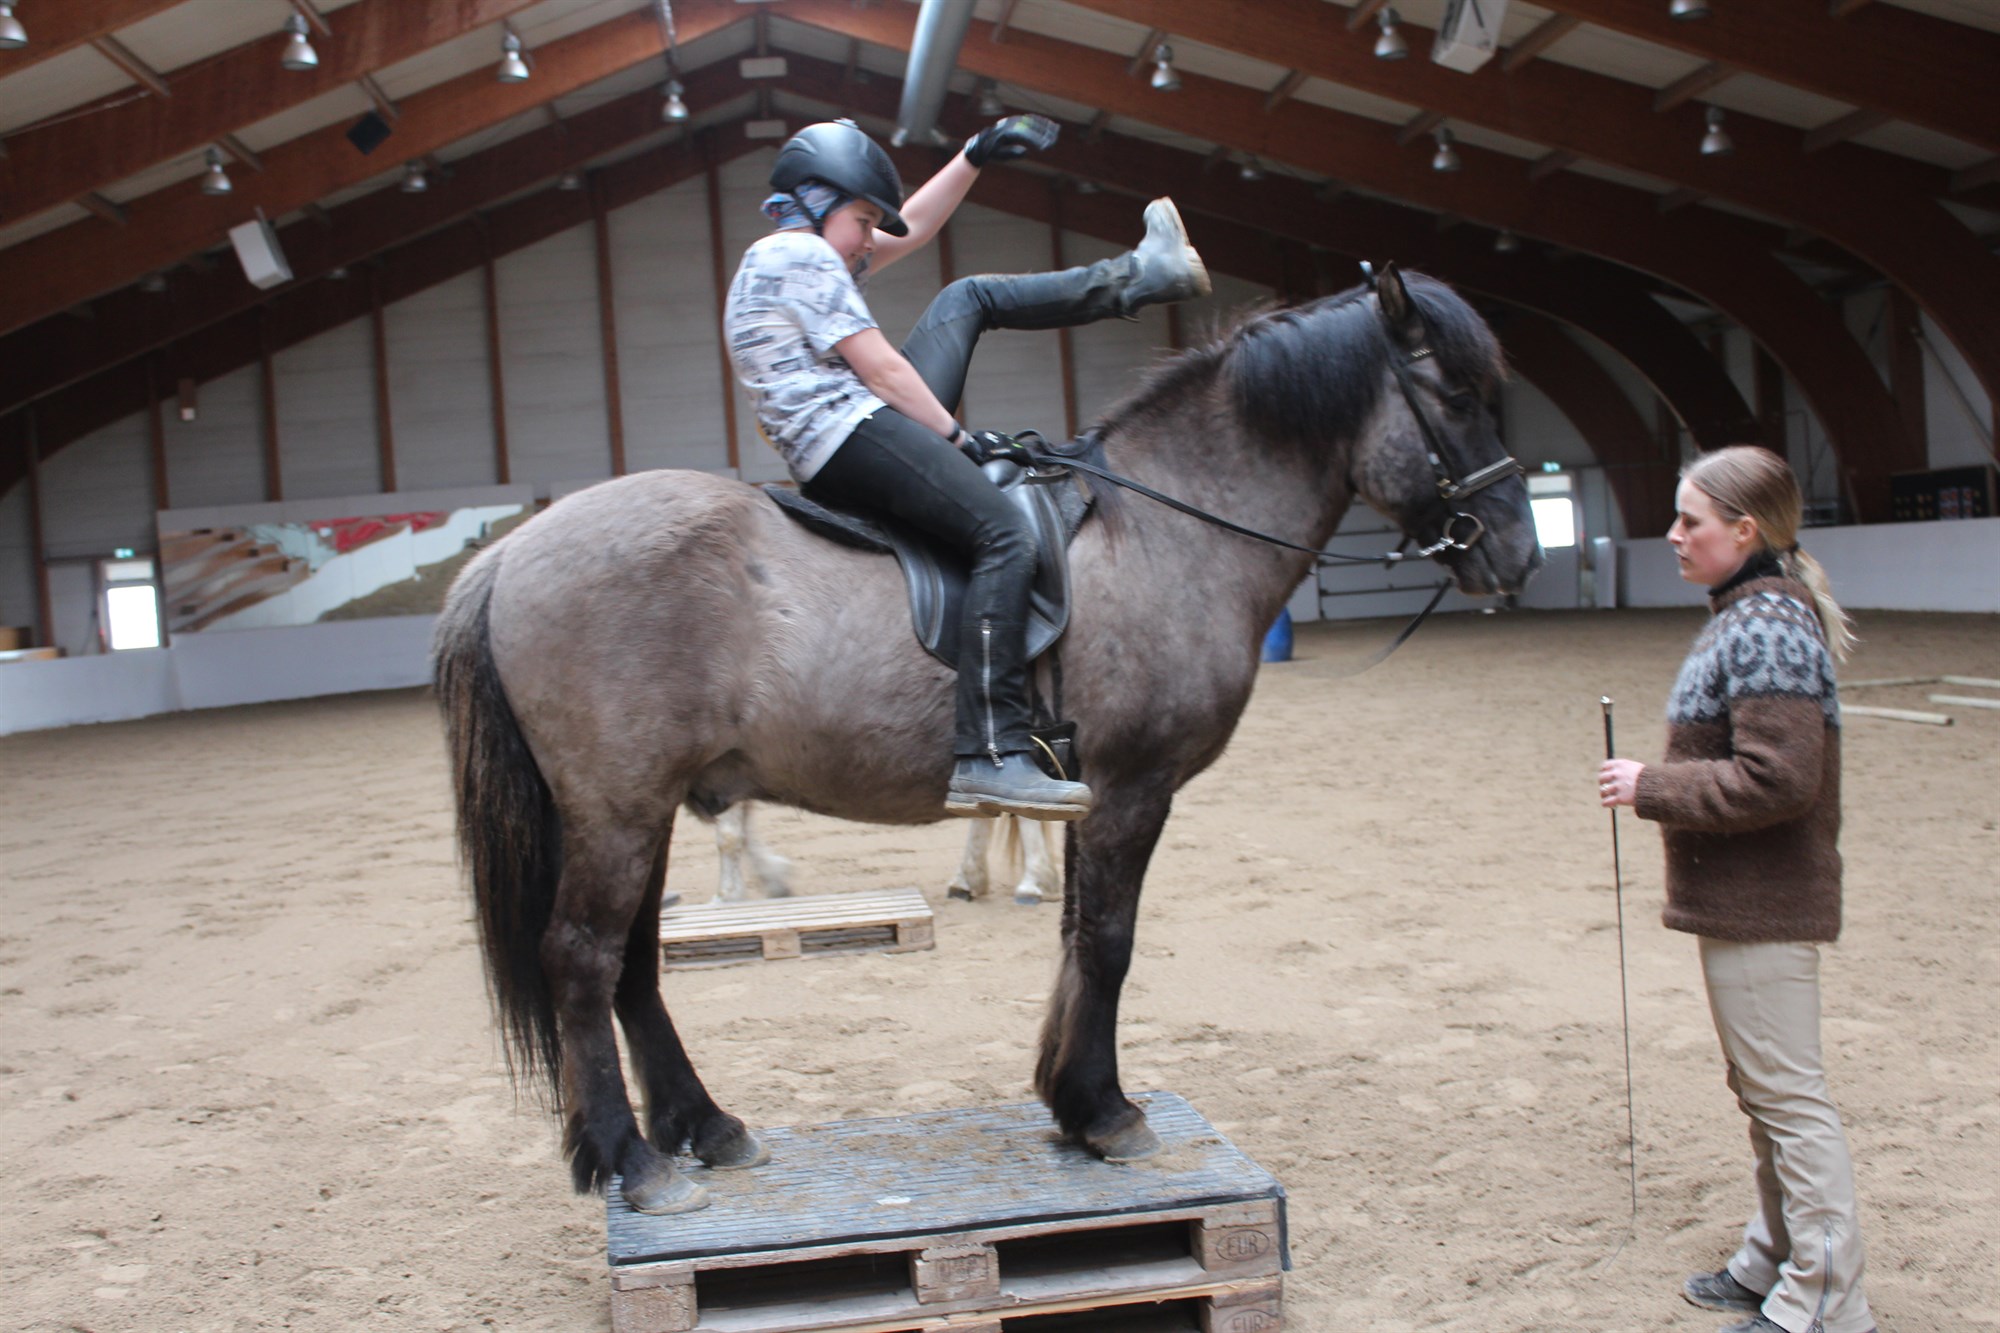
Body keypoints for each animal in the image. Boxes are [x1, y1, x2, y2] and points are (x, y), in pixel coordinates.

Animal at [433, 267, 1543, 1214]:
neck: (1163, 528)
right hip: (616, 806)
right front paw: (1105, 1112)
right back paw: (634, 1161)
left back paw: (704, 1127)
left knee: (632, 962)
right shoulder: (1133, 787)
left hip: (648, 805)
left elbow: (1077, 933)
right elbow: (1107, 940)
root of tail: (512, 554)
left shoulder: (1088, 792)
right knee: (582, 959)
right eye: (1452, 392)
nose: (1516, 554)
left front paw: (1071, 1102)